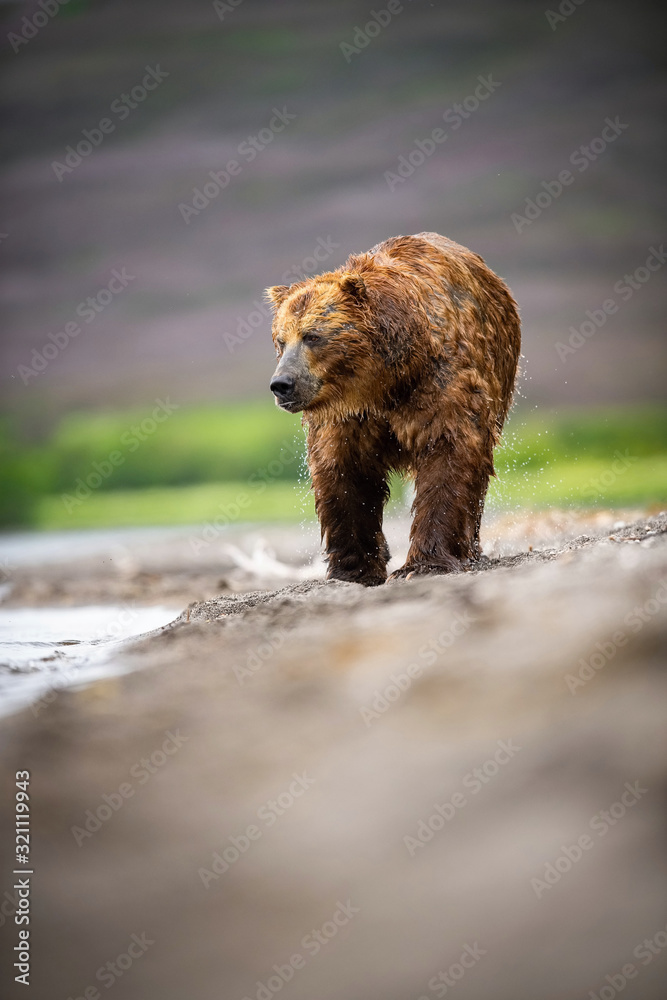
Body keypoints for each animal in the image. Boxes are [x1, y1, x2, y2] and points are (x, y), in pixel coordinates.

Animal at [266, 231, 521, 585]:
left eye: (312, 336)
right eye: (280, 340)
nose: (282, 384)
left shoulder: (441, 381)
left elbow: (449, 452)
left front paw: (424, 564)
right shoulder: (347, 416)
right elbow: (343, 471)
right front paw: (353, 569)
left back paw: (471, 549)